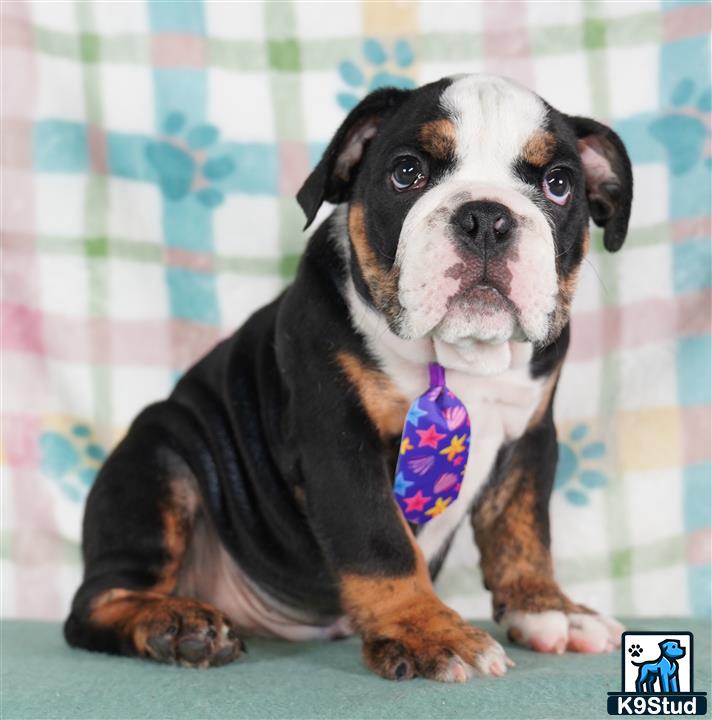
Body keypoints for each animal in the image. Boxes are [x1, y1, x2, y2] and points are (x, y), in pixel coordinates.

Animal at [65, 76, 636, 684]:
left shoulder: (530, 440)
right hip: (157, 465)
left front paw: (549, 609)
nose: (487, 217)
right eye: (406, 172)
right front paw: (430, 631)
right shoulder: (338, 442)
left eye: (558, 185)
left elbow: (524, 531)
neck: (455, 359)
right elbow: (381, 544)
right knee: (95, 603)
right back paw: (175, 625)